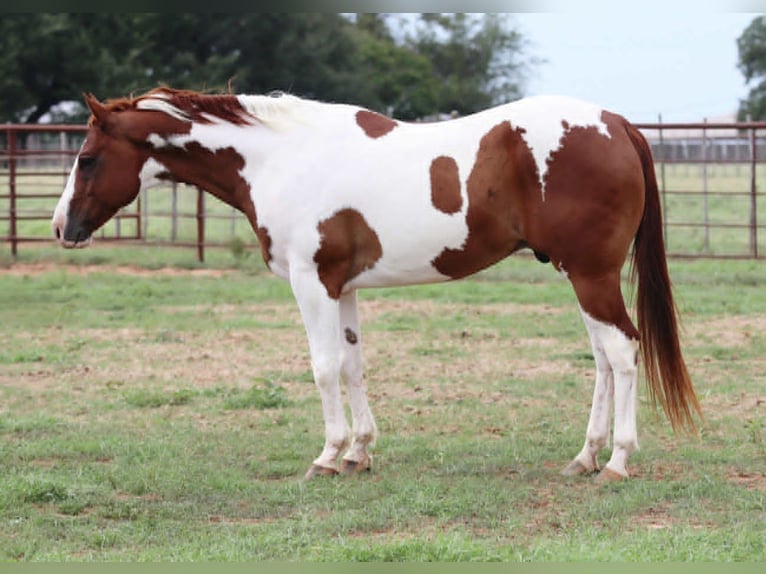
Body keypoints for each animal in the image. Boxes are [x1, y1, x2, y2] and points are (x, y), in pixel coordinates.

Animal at [52, 87, 702, 482]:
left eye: (86, 157)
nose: (62, 227)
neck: (283, 160)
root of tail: (616, 124)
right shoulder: (344, 288)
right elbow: (352, 364)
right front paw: (360, 452)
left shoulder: (312, 283)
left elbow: (322, 368)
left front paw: (326, 456)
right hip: (579, 274)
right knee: (603, 358)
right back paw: (585, 457)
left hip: (591, 275)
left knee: (622, 352)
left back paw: (617, 461)